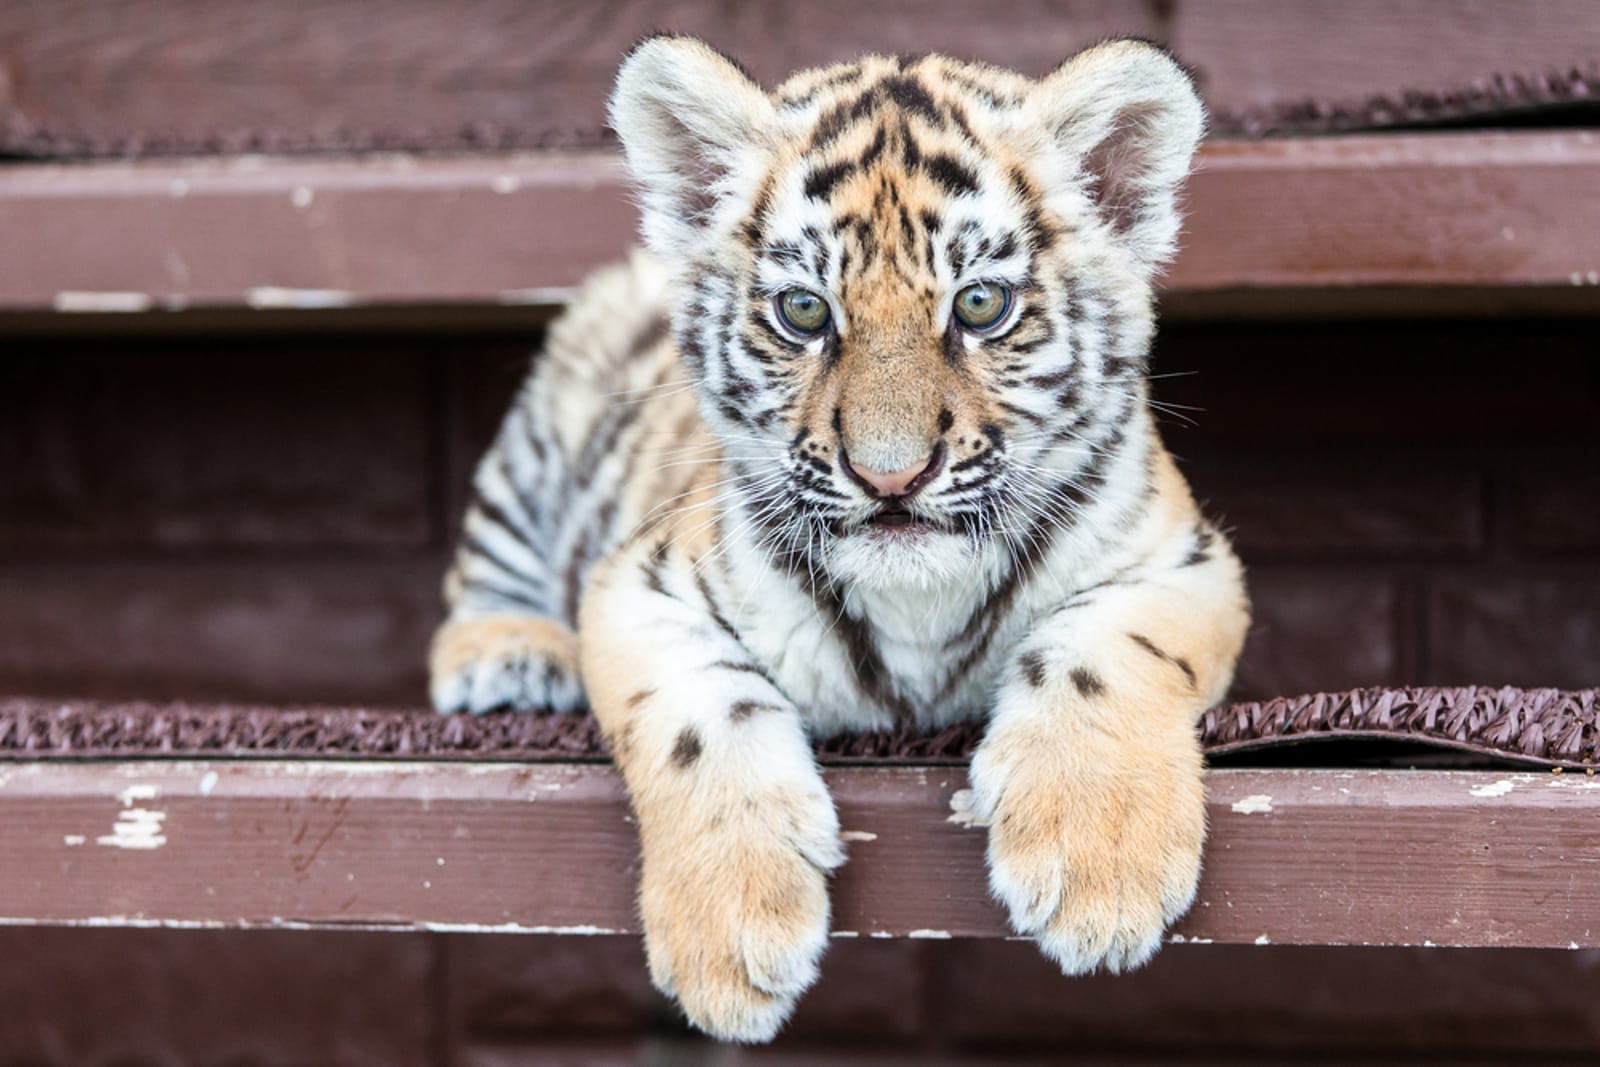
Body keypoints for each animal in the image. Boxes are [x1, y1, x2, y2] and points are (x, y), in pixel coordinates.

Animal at [429, 35, 1250, 1043]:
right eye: (806, 312)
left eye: (981, 305)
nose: (890, 476)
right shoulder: (638, 583)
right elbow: (700, 709)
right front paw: (732, 929)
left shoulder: (1183, 556)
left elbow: (1102, 645)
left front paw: (1099, 864)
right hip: (542, 433)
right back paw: (508, 654)